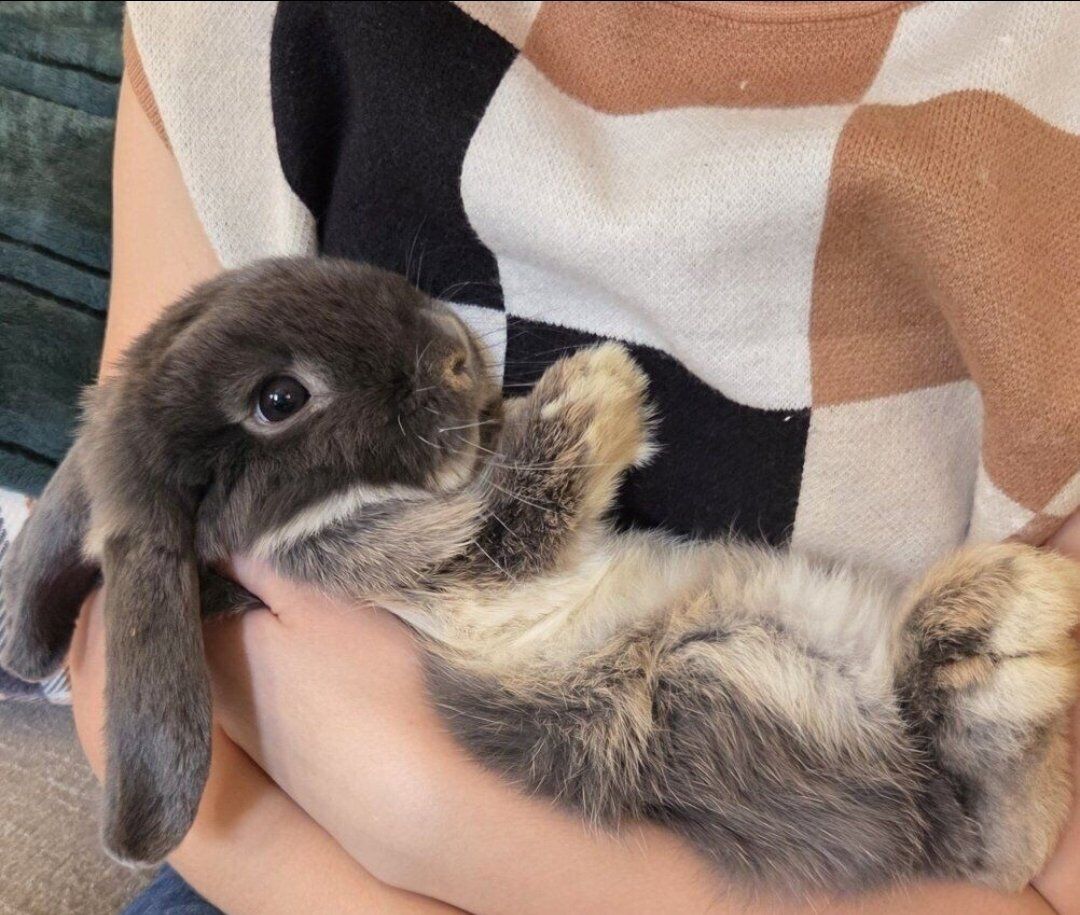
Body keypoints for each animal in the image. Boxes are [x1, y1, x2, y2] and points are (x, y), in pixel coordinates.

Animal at [1, 257, 1077, 898]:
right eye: (278, 398)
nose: (453, 352)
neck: (327, 511)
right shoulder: (448, 582)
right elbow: (515, 519)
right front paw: (602, 389)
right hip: (711, 684)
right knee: (985, 813)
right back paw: (1011, 614)